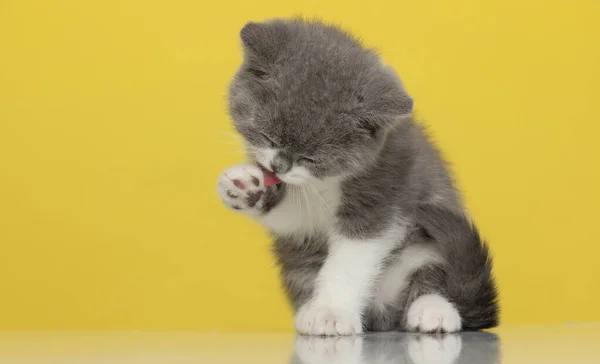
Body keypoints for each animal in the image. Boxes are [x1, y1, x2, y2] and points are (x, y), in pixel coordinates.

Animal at [218, 17, 500, 336]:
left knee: (433, 275)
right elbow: (296, 217)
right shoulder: (304, 210)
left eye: (311, 157)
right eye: (267, 136)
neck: (327, 181)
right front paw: (248, 188)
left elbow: (352, 255)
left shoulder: (386, 187)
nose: (279, 166)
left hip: (433, 244)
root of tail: (381, 312)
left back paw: (434, 310)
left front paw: (331, 312)